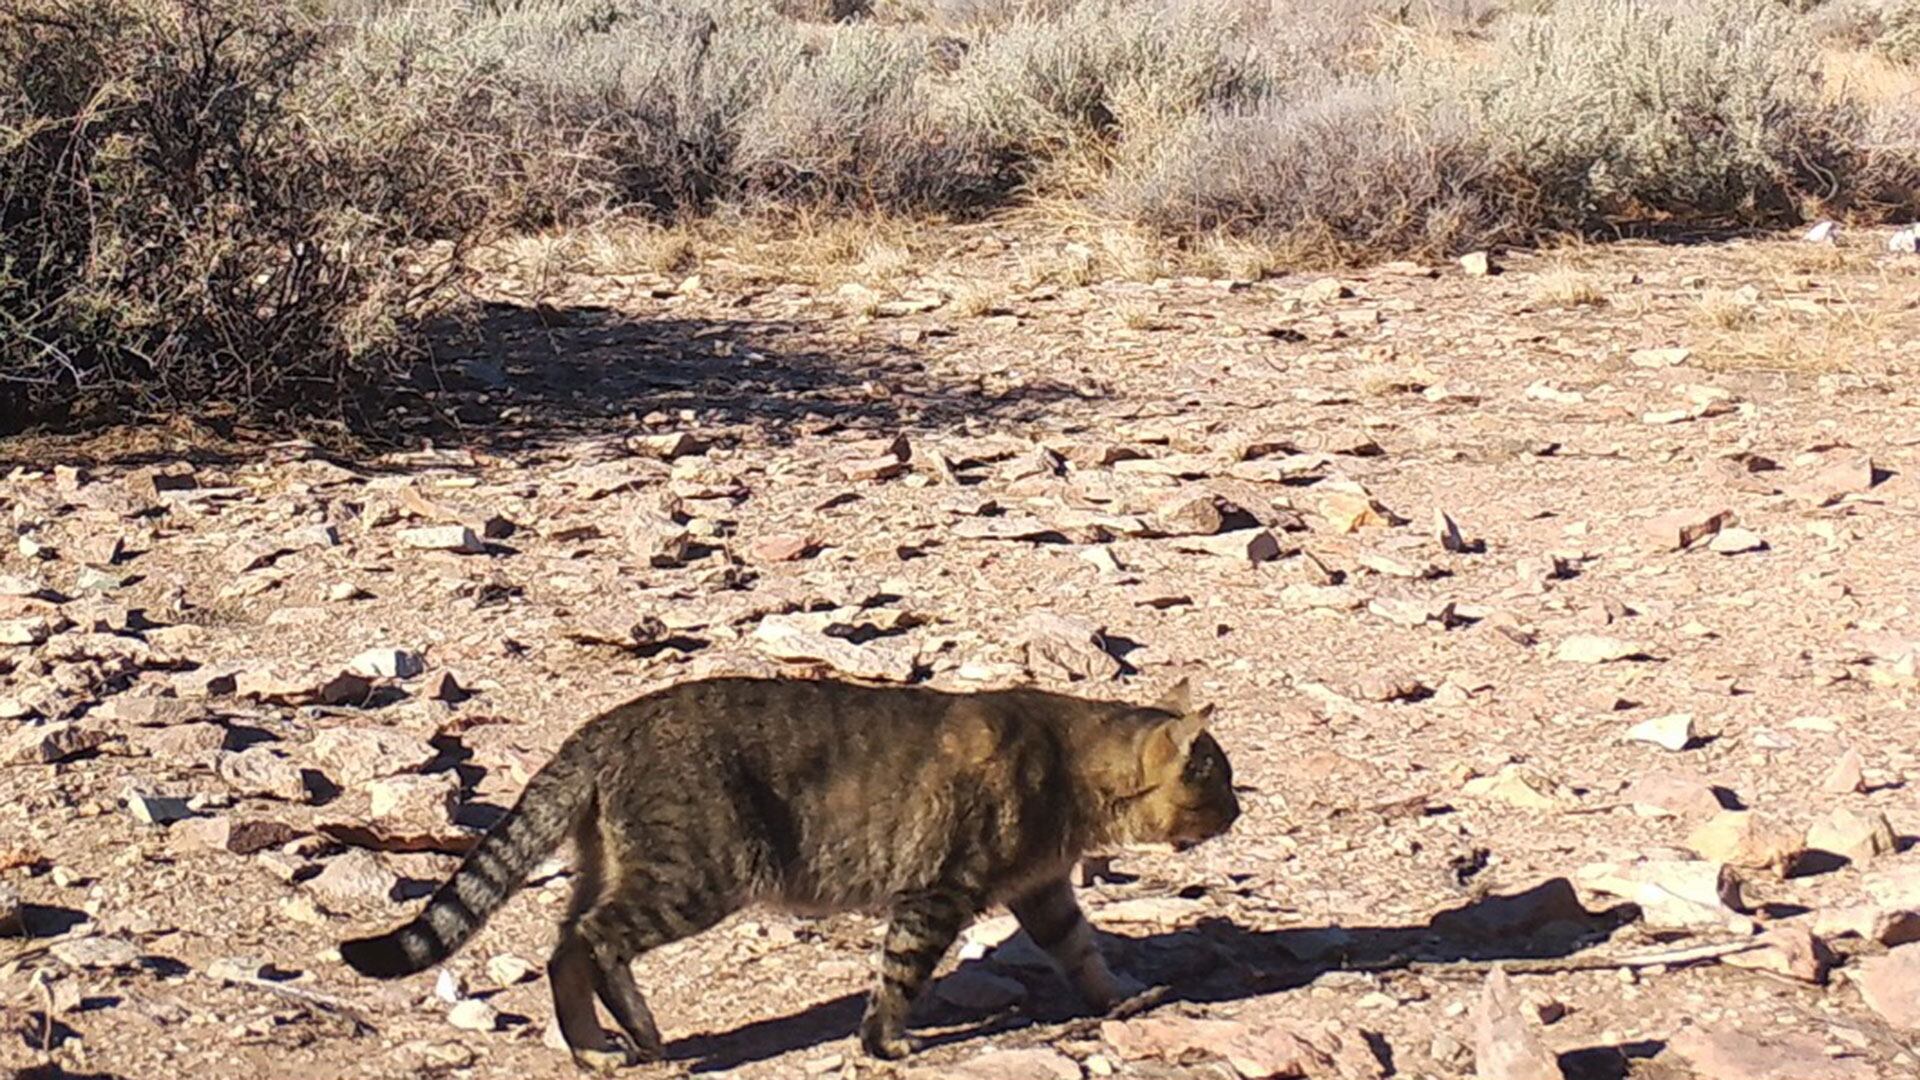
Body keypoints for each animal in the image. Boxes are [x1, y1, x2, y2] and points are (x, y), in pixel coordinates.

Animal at [341, 672, 1244, 1068]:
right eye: (1221, 782)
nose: (1240, 812)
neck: (1069, 765)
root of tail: (605, 723)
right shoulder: (936, 893)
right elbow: (899, 977)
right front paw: (885, 1043)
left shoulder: (1044, 890)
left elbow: (1085, 953)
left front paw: (1122, 998)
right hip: (697, 873)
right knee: (594, 941)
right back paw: (630, 1038)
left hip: (618, 864)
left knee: (566, 943)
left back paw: (600, 1045)